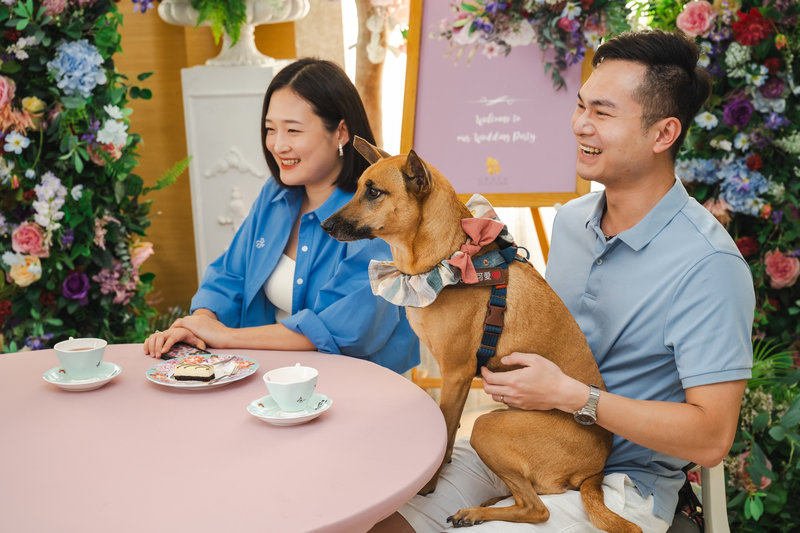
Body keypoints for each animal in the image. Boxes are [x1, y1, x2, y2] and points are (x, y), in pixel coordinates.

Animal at [322, 138, 640, 532]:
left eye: (374, 192)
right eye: (356, 188)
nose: (324, 224)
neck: (446, 258)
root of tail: (596, 471)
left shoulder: (456, 374)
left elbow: (445, 427)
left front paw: (428, 484)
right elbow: (448, 429)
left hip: (488, 427)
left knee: (539, 509)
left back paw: (474, 513)